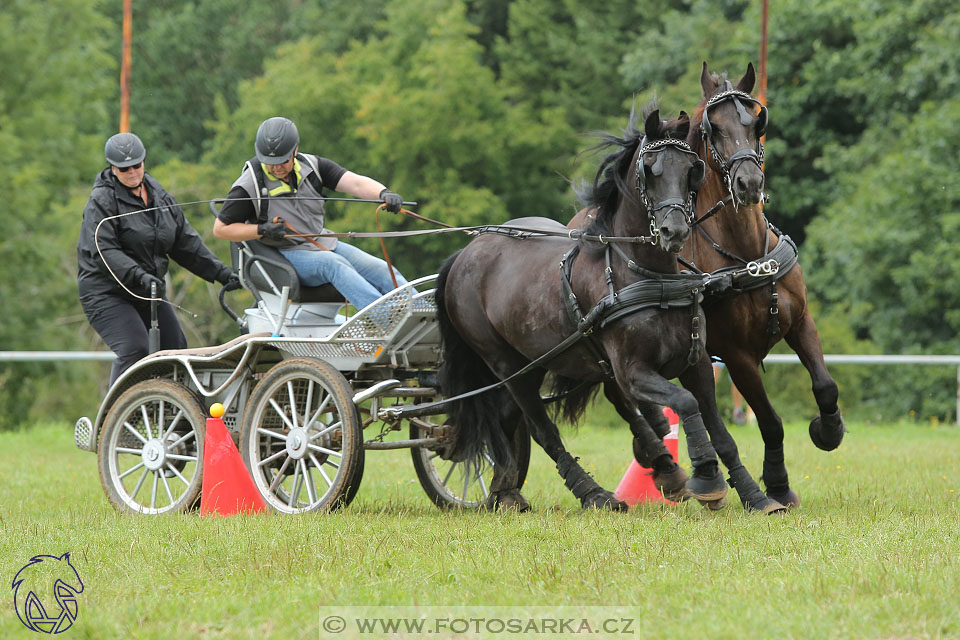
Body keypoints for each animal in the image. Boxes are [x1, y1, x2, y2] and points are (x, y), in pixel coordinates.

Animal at [434, 104, 752, 510]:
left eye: (690, 169)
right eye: (651, 170)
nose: (675, 231)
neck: (649, 277)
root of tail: (464, 253)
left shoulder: (694, 361)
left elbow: (713, 421)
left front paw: (754, 493)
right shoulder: (632, 371)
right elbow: (684, 402)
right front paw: (706, 477)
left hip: (535, 360)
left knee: (505, 420)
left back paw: (505, 489)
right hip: (505, 365)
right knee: (538, 426)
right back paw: (592, 492)